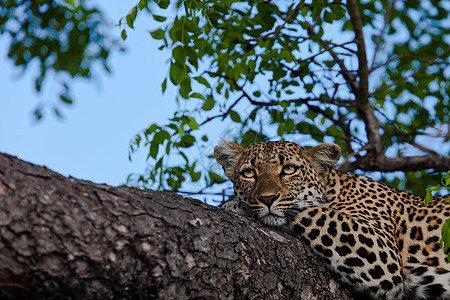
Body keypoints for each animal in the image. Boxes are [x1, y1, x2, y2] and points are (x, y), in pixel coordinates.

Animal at [214, 141, 450, 300]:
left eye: (289, 169)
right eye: (249, 173)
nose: (267, 198)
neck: (335, 190)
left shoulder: (380, 251)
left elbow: (309, 211)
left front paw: (236, 206)